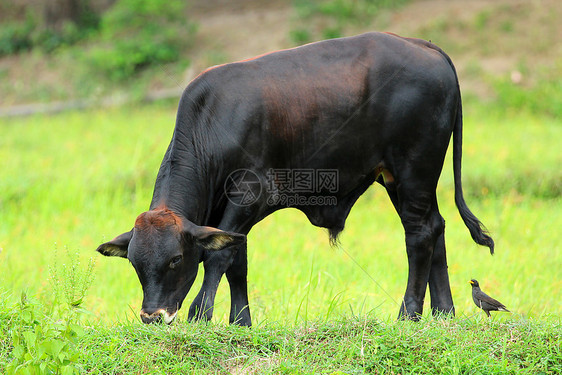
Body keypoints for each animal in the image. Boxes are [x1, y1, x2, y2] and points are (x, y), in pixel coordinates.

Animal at [96, 31, 490, 326]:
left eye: (176, 259)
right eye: (134, 263)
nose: (152, 315)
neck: (213, 121)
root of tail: (424, 46)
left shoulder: (249, 194)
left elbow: (218, 258)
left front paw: (200, 315)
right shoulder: (227, 214)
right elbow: (237, 261)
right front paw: (241, 322)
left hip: (413, 170)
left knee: (419, 235)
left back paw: (408, 315)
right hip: (401, 178)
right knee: (435, 227)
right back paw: (443, 313)